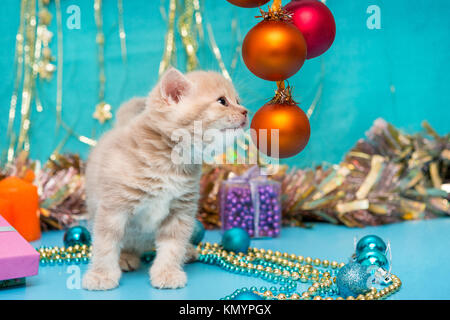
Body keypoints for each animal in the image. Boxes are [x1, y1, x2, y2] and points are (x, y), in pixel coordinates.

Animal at [82, 67, 248, 290]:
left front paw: (167, 272)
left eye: (237, 100)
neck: (171, 162)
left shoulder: (180, 211)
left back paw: (187, 251)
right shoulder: (114, 207)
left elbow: (172, 246)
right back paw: (126, 257)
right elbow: (105, 244)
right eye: (222, 101)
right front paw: (101, 275)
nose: (245, 111)